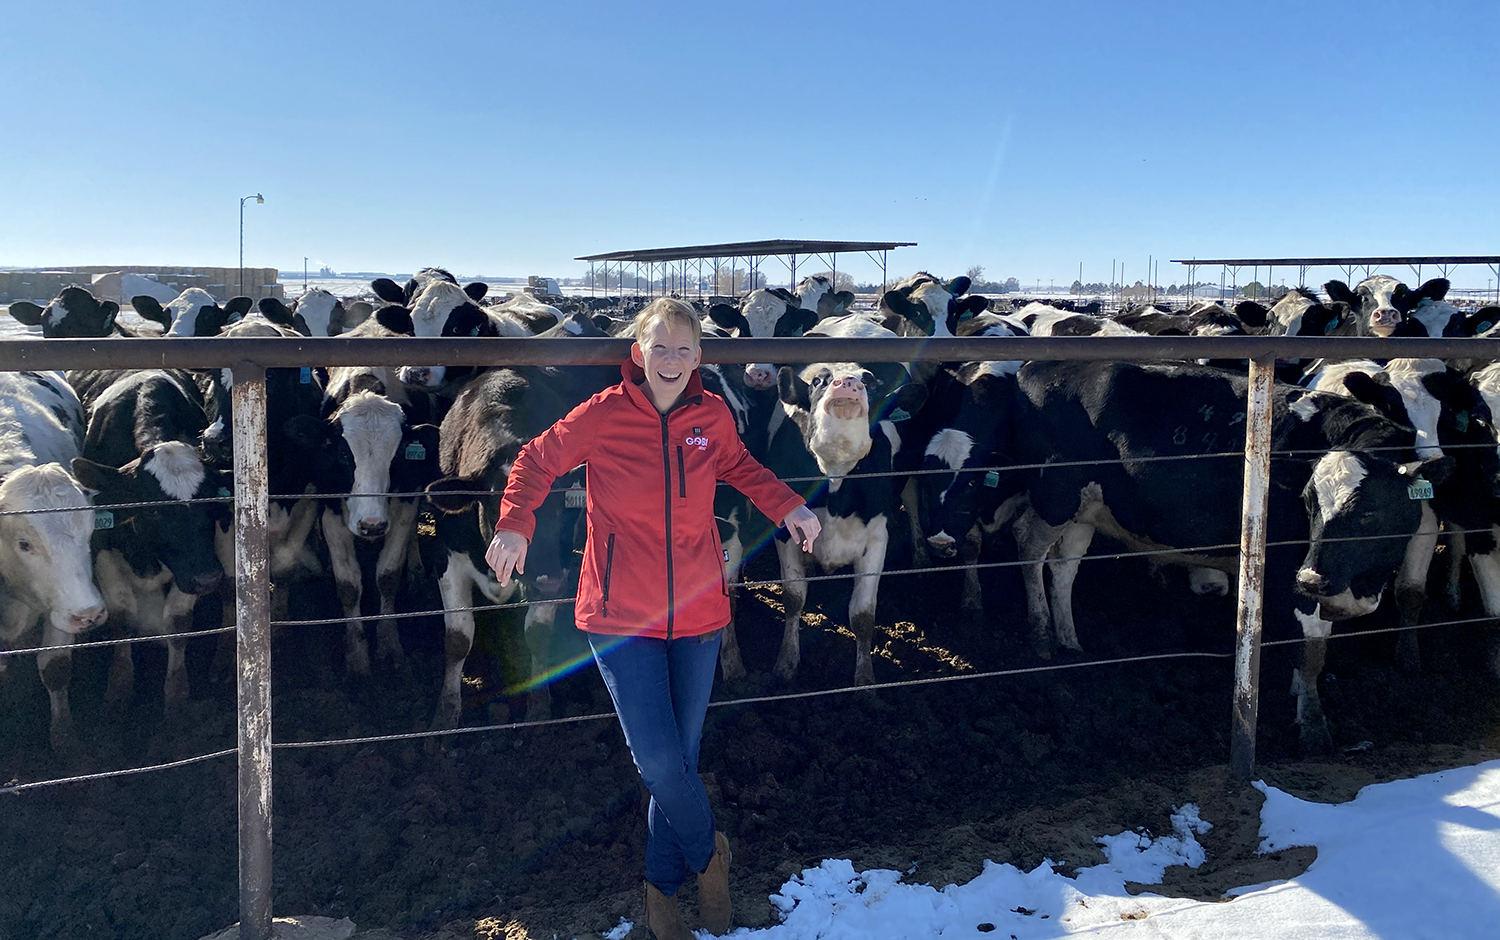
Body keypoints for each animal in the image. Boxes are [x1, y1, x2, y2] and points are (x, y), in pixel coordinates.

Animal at [68, 371, 231, 710]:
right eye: (154, 510)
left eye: (210, 501)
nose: (208, 578)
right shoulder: (103, 550)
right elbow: (121, 617)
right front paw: (119, 686)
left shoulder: (188, 571)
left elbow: (179, 622)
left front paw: (177, 693)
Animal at [1014, 356, 1446, 752]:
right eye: (1308, 504)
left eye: (1369, 511)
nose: (1312, 578)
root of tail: (1041, 367)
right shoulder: (1292, 568)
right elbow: (1311, 649)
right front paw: (1313, 727)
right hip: (1055, 494)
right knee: (1029, 548)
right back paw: (1042, 637)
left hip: (1087, 506)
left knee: (1064, 566)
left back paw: (1070, 642)